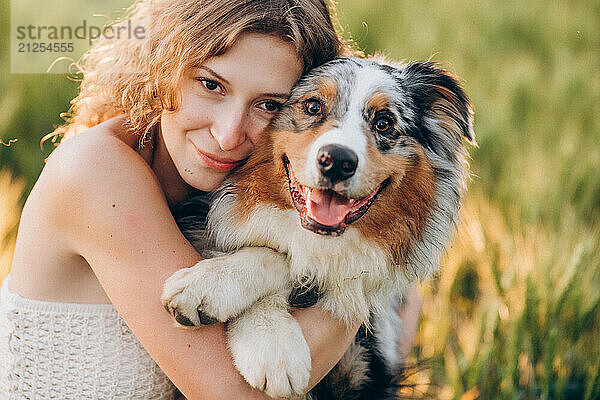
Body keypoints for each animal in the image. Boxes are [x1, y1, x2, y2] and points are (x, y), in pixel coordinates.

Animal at [162, 57, 476, 400]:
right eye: (313, 106)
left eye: (383, 123)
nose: (337, 160)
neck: (317, 238)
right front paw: (269, 341)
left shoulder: (368, 364)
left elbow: (288, 258)